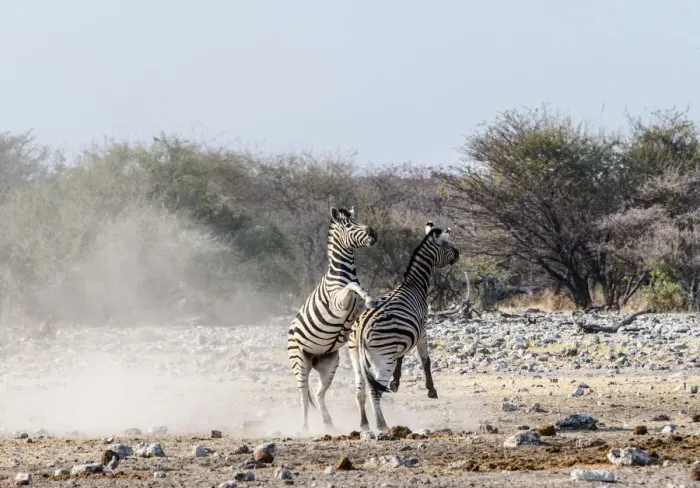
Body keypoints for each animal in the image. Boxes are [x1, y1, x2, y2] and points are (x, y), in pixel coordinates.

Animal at [287, 206, 378, 432]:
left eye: (357, 219)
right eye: (348, 225)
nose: (374, 233)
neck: (342, 272)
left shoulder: (355, 311)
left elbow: (360, 292)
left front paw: (371, 299)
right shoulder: (338, 302)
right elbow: (352, 287)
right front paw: (370, 299)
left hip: (329, 364)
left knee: (319, 393)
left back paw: (328, 423)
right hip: (299, 361)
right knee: (303, 396)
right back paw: (304, 428)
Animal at [348, 222, 459, 432]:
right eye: (447, 245)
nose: (458, 254)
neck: (413, 284)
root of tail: (361, 332)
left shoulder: (402, 336)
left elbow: (402, 356)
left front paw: (396, 382)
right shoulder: (422, 329)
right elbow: (425, 360)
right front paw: (431, 390)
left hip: (356, 359)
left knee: (360, 391)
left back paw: (364, 424)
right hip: (382, 360)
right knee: (375, 391)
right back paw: (382, 425)